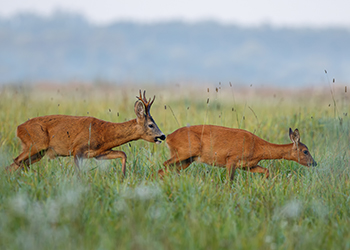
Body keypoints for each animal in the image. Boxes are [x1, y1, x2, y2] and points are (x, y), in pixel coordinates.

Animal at [4, 90, 165, 176]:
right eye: (151, 125)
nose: (162, 135)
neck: (104, 134)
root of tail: (18, 128)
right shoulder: (77, 149)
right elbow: (78, 173)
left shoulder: (98, 153)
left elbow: (123, 154)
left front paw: (123, 176)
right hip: (36, 143)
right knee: (17, 161)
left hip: (38, 152)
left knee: (15, 164)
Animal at [159, 126, 318, 181]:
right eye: (305, 151)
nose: (314, 163)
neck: (257, 147)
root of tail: (169, 137)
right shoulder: (231, 159)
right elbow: (229, 181)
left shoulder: (248, 166)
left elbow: (266, 171)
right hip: (184, 153)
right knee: (163, 165)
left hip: (187, 160)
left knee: (166, 169)